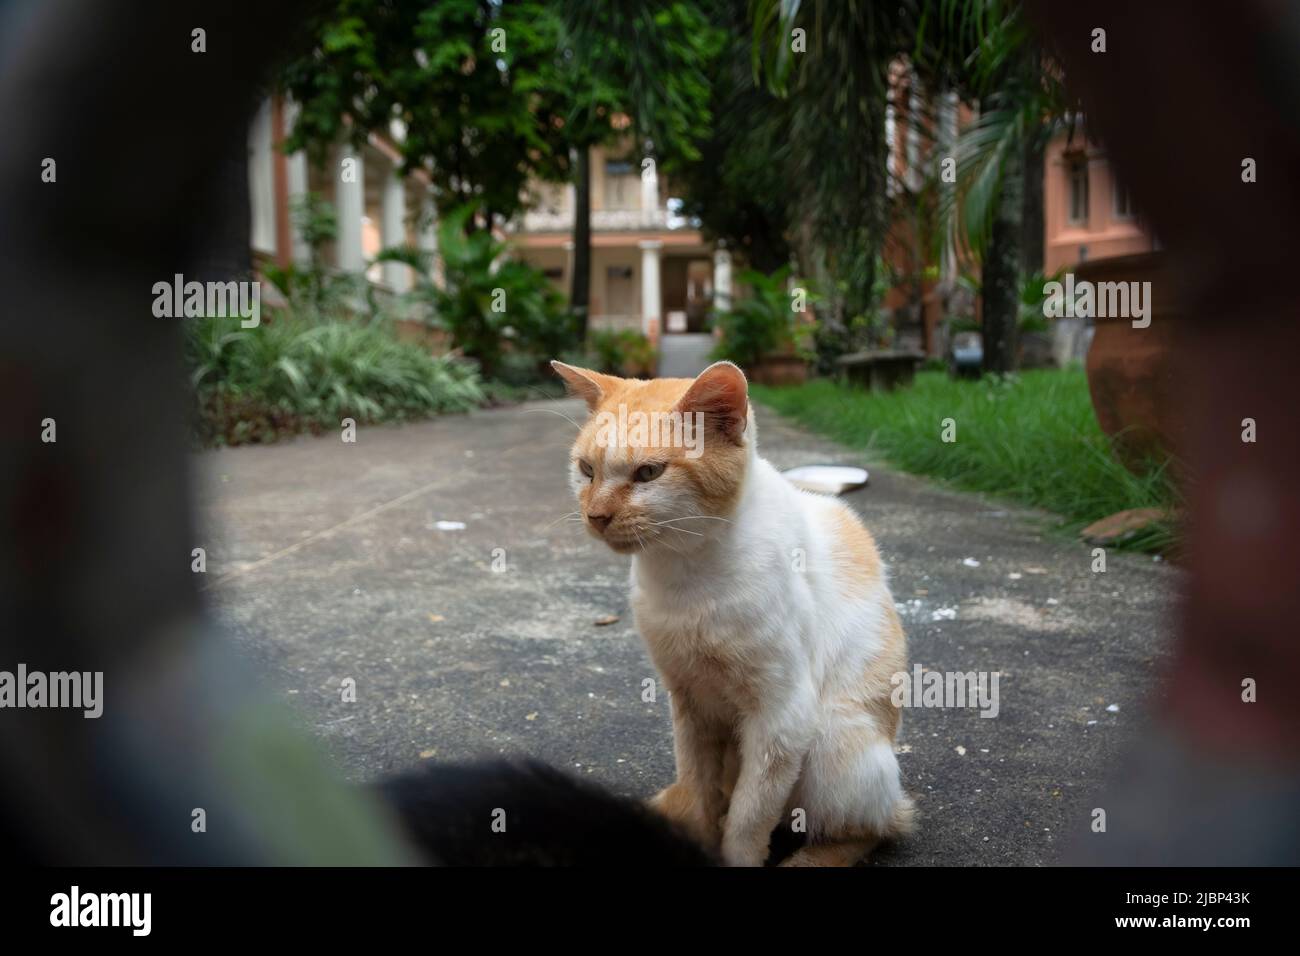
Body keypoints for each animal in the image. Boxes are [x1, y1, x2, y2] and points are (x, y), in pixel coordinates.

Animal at [551, 358, 915, 868]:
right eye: (586, 470)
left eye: (648, 473)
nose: (596, 516)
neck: (685, 578)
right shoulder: (689, 702)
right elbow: (700, 794)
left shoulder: (780, 717)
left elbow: (748, 819)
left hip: (834, 740)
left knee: (872, 827)